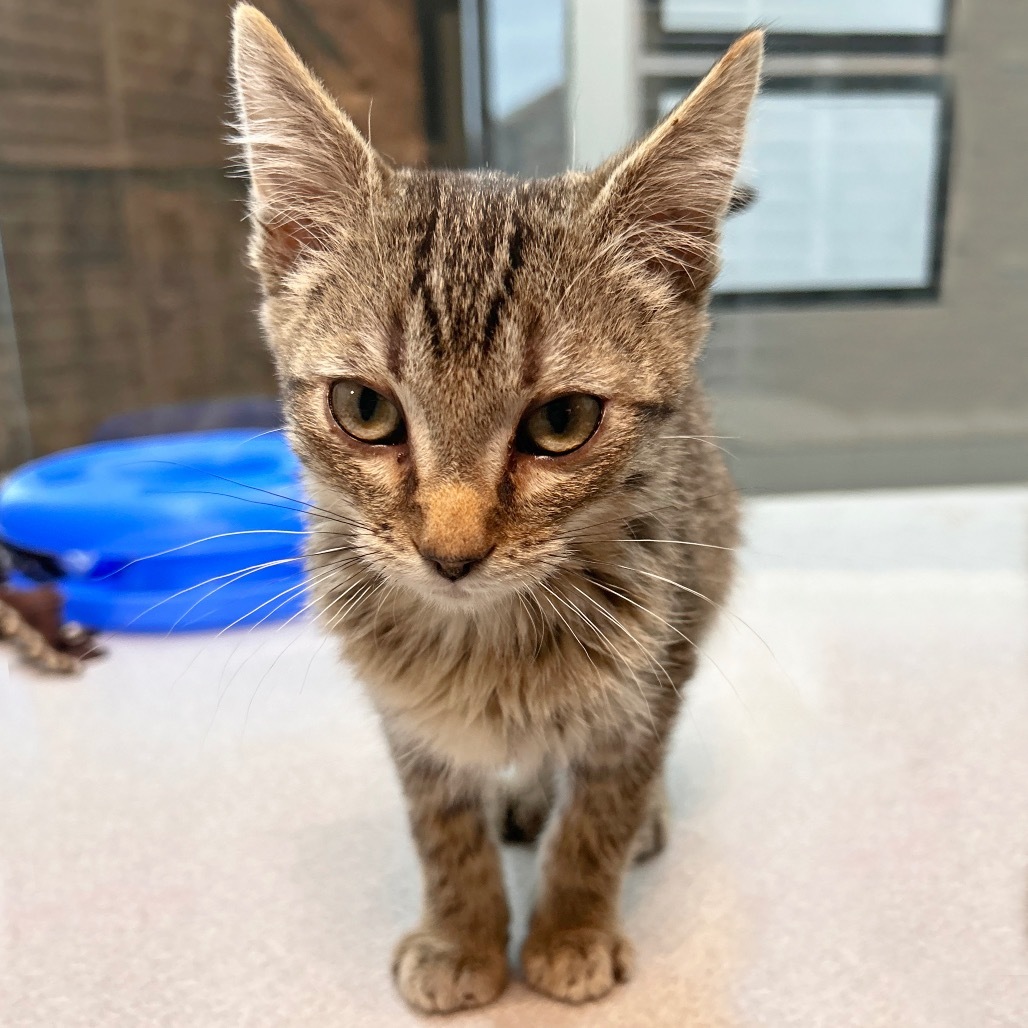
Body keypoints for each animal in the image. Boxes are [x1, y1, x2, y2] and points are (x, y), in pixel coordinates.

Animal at [233, 4, 764, 1007]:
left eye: (562, 421)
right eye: (365, 409)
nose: (452, 552)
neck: (485, 643)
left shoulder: (652, 668)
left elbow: (602, 805)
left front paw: (569, 928)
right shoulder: (408, 716)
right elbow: (441, 827)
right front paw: (465, 938)